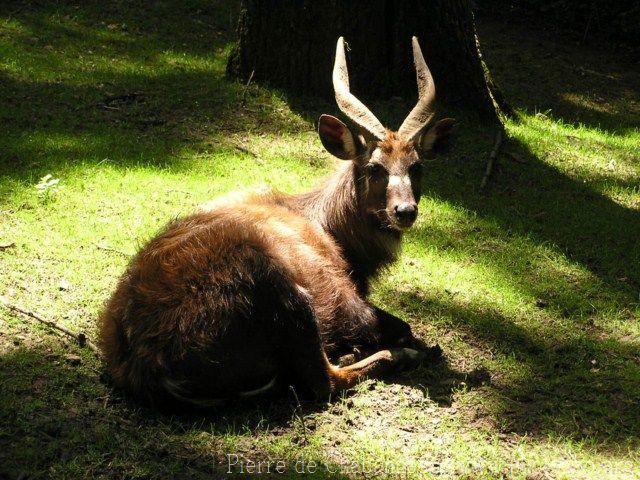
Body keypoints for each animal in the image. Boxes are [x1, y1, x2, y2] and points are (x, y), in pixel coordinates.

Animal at [97, 37, 452, 408]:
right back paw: (393, 355)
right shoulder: (342, 298)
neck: (333, 233)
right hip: (277, 285)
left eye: (417, 166)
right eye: (374, 167)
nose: (405, 210)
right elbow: (397, 327)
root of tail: (149, 368)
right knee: (323, 381)